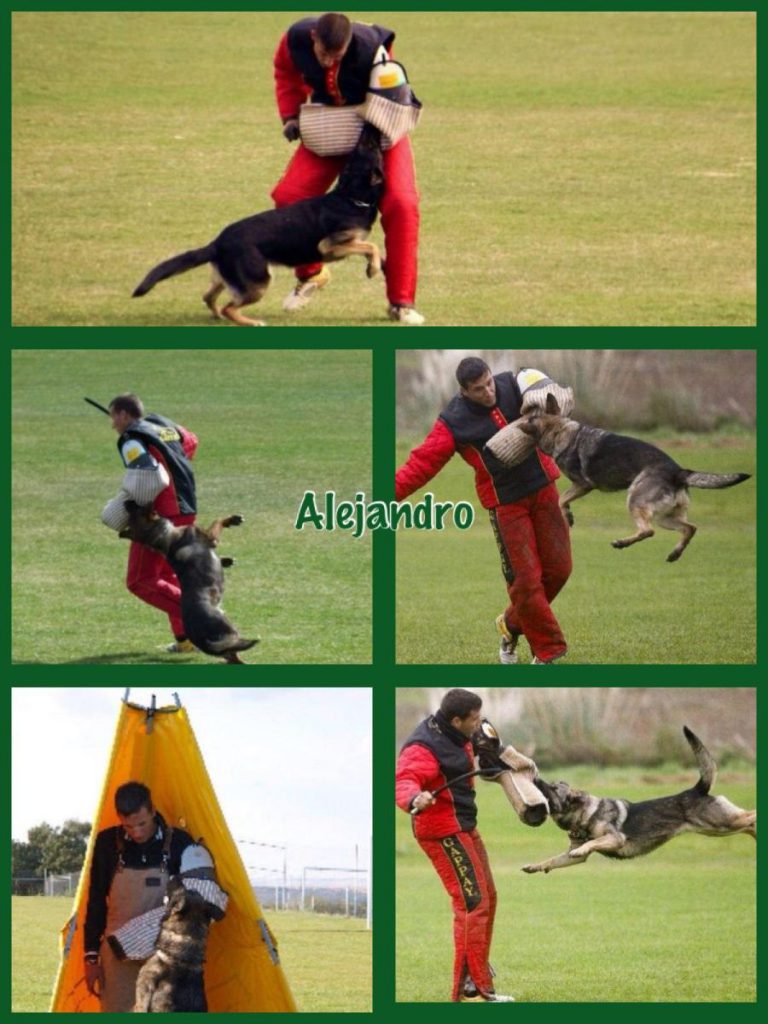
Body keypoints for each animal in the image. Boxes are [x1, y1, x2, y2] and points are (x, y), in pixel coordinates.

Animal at [120, 501, 259, 663]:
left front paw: (225, 560)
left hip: (226, 647)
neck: (165, 537)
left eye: (133, 510)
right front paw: (232, 520)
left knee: (233, 658)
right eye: (138, 509)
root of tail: (202, 640)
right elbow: (217, 520)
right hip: (229, 629)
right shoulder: (210, 537)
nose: (126, 502)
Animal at [133, 122, 387, 323]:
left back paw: (217, 317)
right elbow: (371, 246)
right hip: (259, 282)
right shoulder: (330, 246)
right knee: (229, 308)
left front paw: (372, 267)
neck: (351, 196)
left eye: (361, 147)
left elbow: (368, 248)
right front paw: (374, 268)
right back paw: (252, 322)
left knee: (209, 297)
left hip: (229, 279)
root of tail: (216, 243)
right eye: (368, 146)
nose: (370, 126)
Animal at [512, 393, 753, 569]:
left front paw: (567, 516)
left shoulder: (583, 485)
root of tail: (678, 472)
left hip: (635, 501)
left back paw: (621, 543)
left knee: (648, 531)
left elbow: (561, 499)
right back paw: (674, 554)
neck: (560, 430)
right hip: (664, 516)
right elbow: (563, 499)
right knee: (689, 528)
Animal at [524, 724, 757, 876]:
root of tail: (697, 789)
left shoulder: (615, 838)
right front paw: (535, 866)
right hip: (717, 829)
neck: (584, 816)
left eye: (553, 788)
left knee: (750, 815)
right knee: (748, 823)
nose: (535, 777)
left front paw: (585, 845)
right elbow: (553, 860)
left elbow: (592, 842)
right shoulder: (573, 856)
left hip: (721, 823)